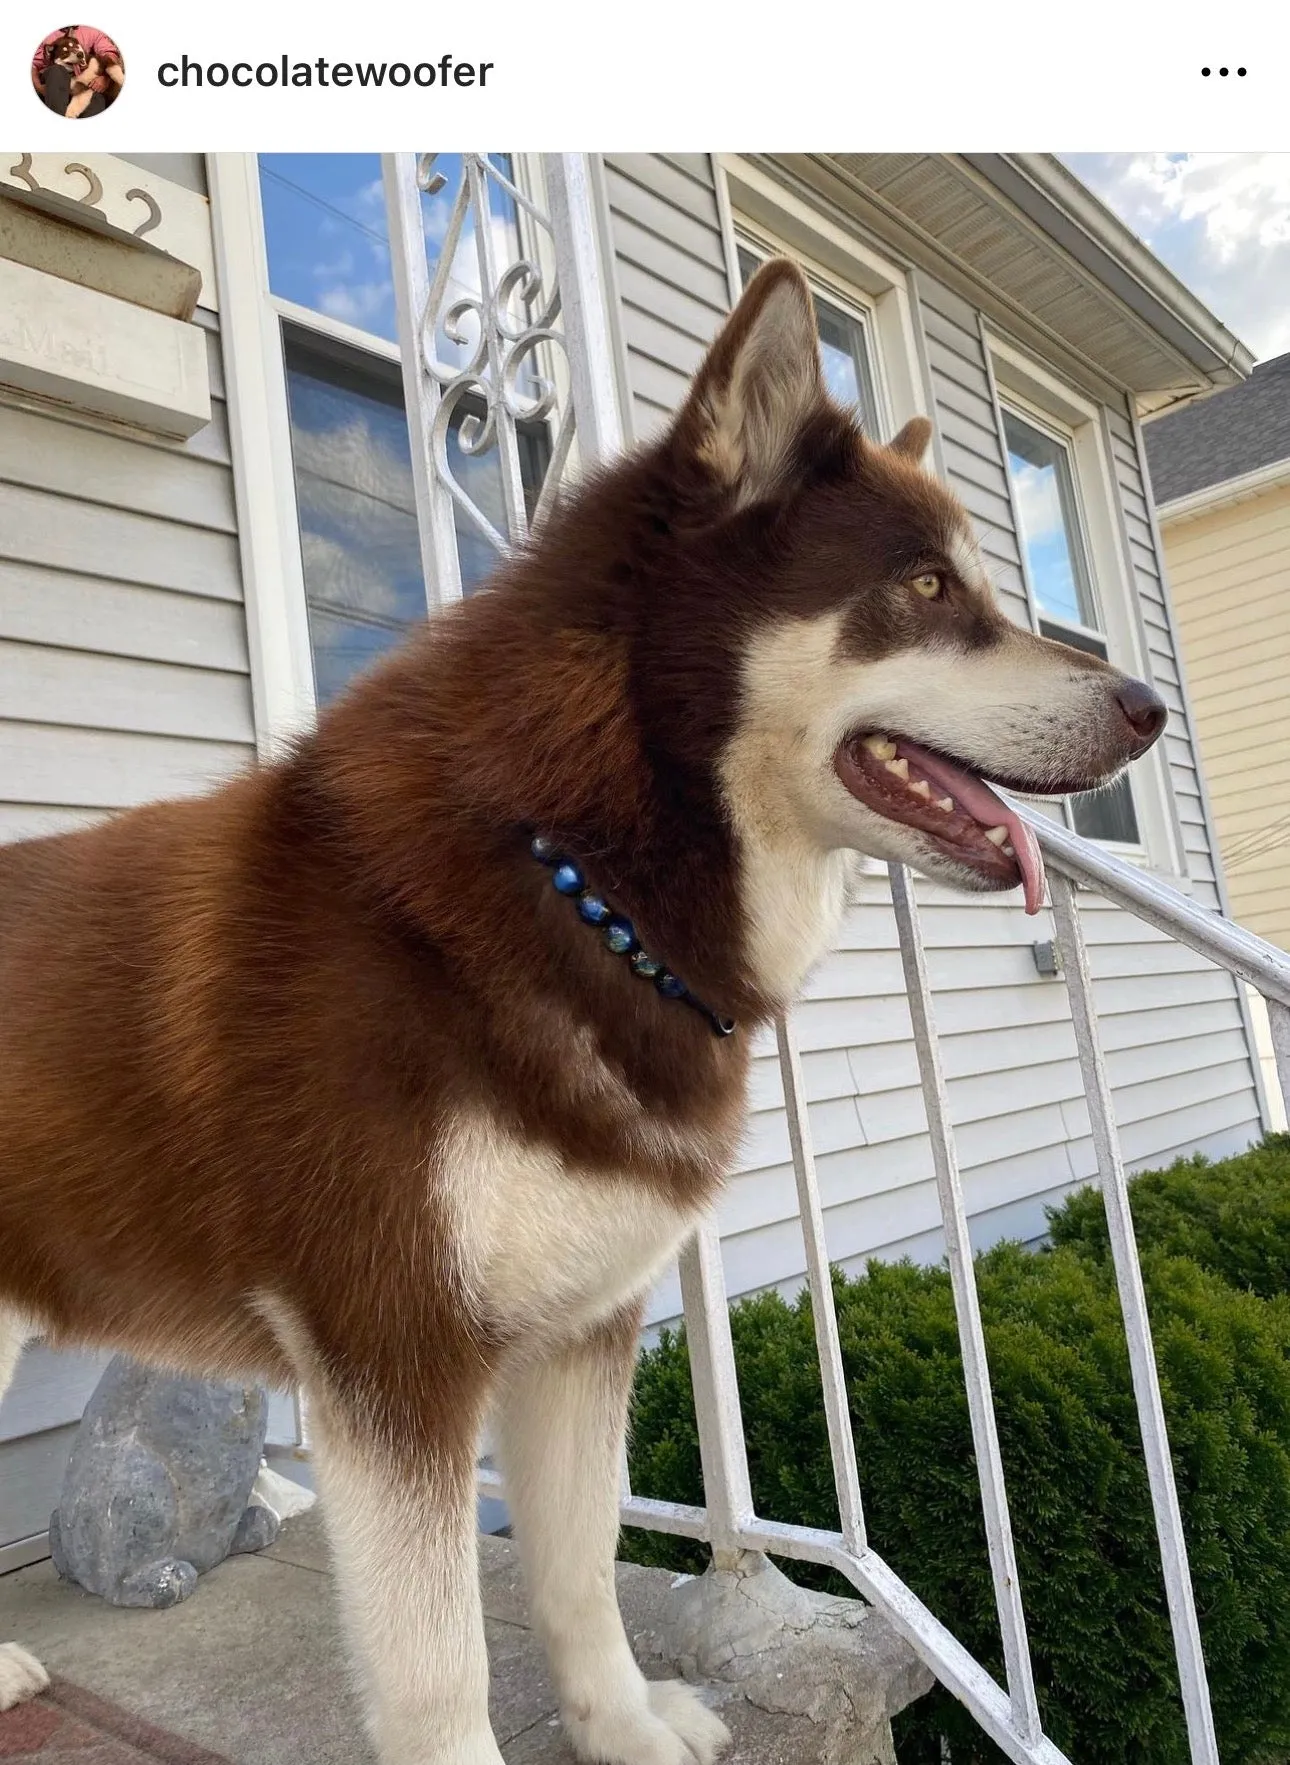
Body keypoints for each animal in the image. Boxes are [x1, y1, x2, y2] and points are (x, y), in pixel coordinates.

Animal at [0, 264, 1164, 1765]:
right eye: (921, 586)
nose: (1146, 705)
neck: (572, 877)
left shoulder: (581, 1326)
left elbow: (576, 1567)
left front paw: (620, 1723)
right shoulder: (396, 1359)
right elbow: (436, 1671)